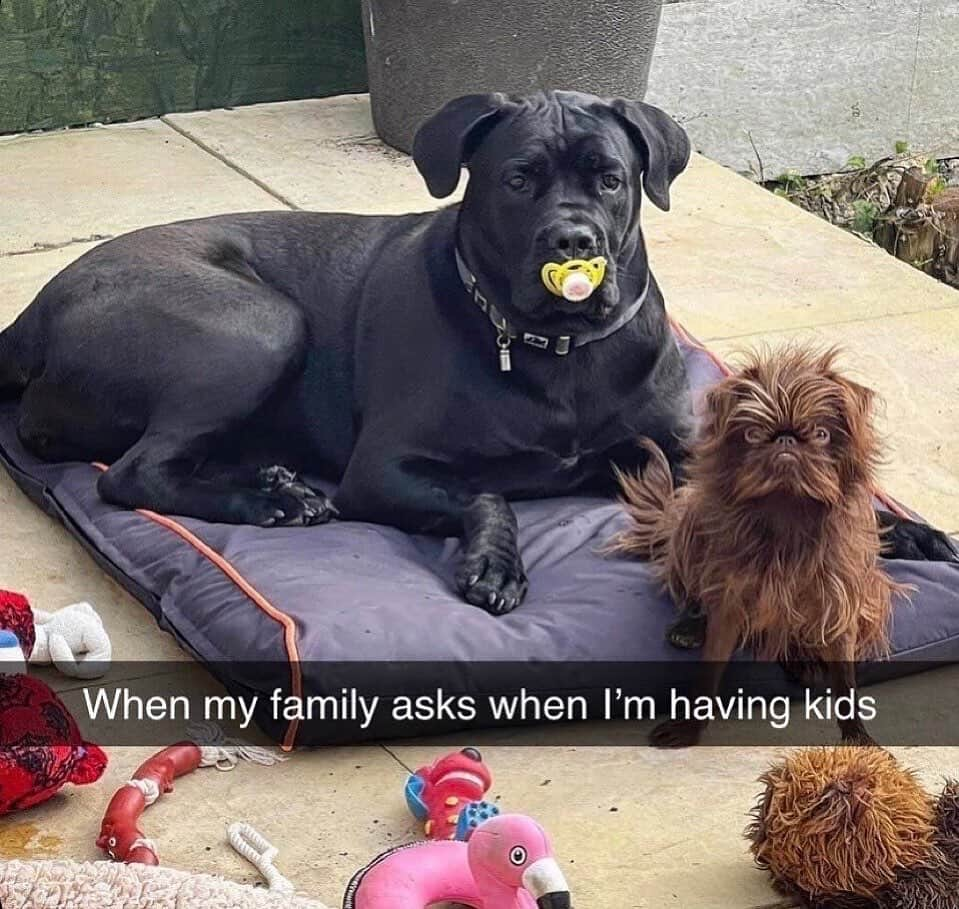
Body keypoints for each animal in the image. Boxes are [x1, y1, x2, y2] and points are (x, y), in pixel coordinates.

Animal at [0, 92, 956, 616]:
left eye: (610, 177)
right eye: (518, 177)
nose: (572, 242)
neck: (555, 347)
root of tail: (35, 308)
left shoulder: (675, 446)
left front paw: (901, 527)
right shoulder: (385, 469)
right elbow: (486, 492)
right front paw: (494, 562)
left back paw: (272, 483)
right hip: (255, 324)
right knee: (132, 473)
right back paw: (269, 502)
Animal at [616, 344, 908, 748]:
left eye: (821, 434)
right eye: (753, 434)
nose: (785, 439)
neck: (786, 513)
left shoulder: (840, 603)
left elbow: (845, 684)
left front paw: (857, 737)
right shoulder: (730, 599)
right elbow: (709, 670)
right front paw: (689, 727)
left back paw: (803, 658)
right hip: (691, 520)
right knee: (695, 592)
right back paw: (690, 626)